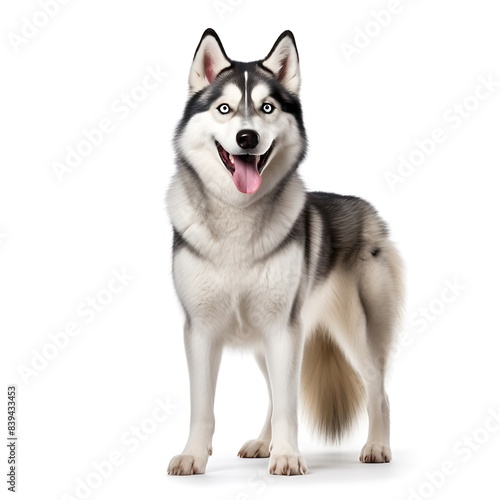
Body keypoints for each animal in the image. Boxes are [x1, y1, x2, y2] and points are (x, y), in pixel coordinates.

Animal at [166, 28, 404, 476]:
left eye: (267, 107)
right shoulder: (200, 329)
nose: (247, 137)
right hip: (269, 340)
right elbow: (203, 407)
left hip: (356, 333)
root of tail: (370, 211)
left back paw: (377, 447)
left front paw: (289, 456)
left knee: (377, 388)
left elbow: (290, 405)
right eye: (224, 108)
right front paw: (193, 455)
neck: (238, 220)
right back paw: (264, 442)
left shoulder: (283, 330)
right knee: (276, 394)